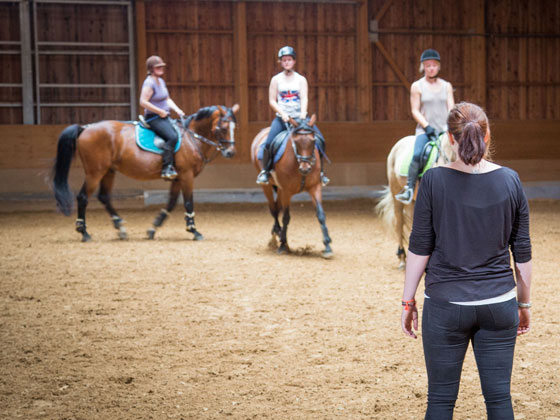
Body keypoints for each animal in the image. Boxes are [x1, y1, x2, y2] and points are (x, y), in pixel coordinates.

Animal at [49, 104, 238, 243]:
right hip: (95, 172)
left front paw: (153, 228)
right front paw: (194, 231)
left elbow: (171, 203)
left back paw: (120, 227)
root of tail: (85, 128)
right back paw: (84, 232)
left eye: (234, 127)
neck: (192, 137)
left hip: (108, 171)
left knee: (104, 197)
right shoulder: (187, 175)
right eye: (223, 127)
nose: (230, 153)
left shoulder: (177, 178)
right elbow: (188, 202)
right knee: (83, 197)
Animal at [249, 115, 332, 260]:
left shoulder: (315, 187)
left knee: (277, 207)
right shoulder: (286, 190)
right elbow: (286, 217)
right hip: (268, 187)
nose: (305, 169)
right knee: (274, 209)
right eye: (296, 141)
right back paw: (278, 234)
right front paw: (283, 245)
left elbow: (321, 214)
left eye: (313, 141)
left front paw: (327, 246)